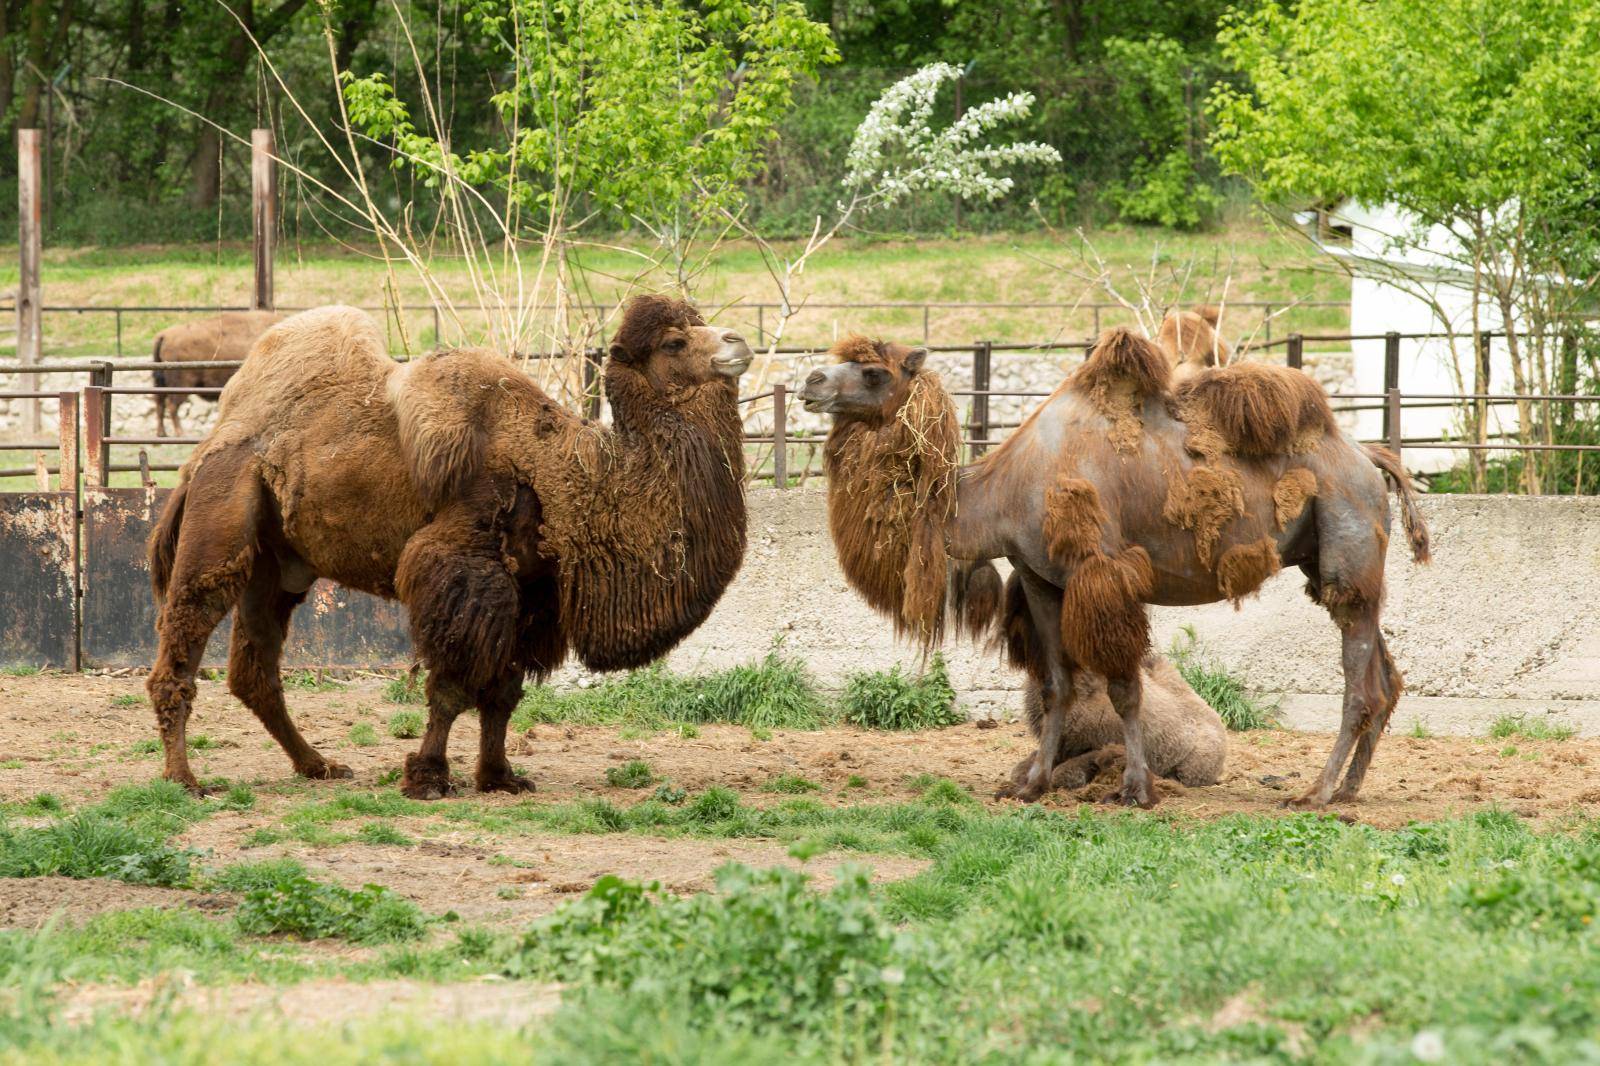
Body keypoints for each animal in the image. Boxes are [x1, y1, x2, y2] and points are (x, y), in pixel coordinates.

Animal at [151, 307, 283, 435]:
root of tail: (164, 335)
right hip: (181, 385)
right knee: (172, 405)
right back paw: (181, 433)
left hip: (161, 381)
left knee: (159, 402)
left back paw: (161, 433)